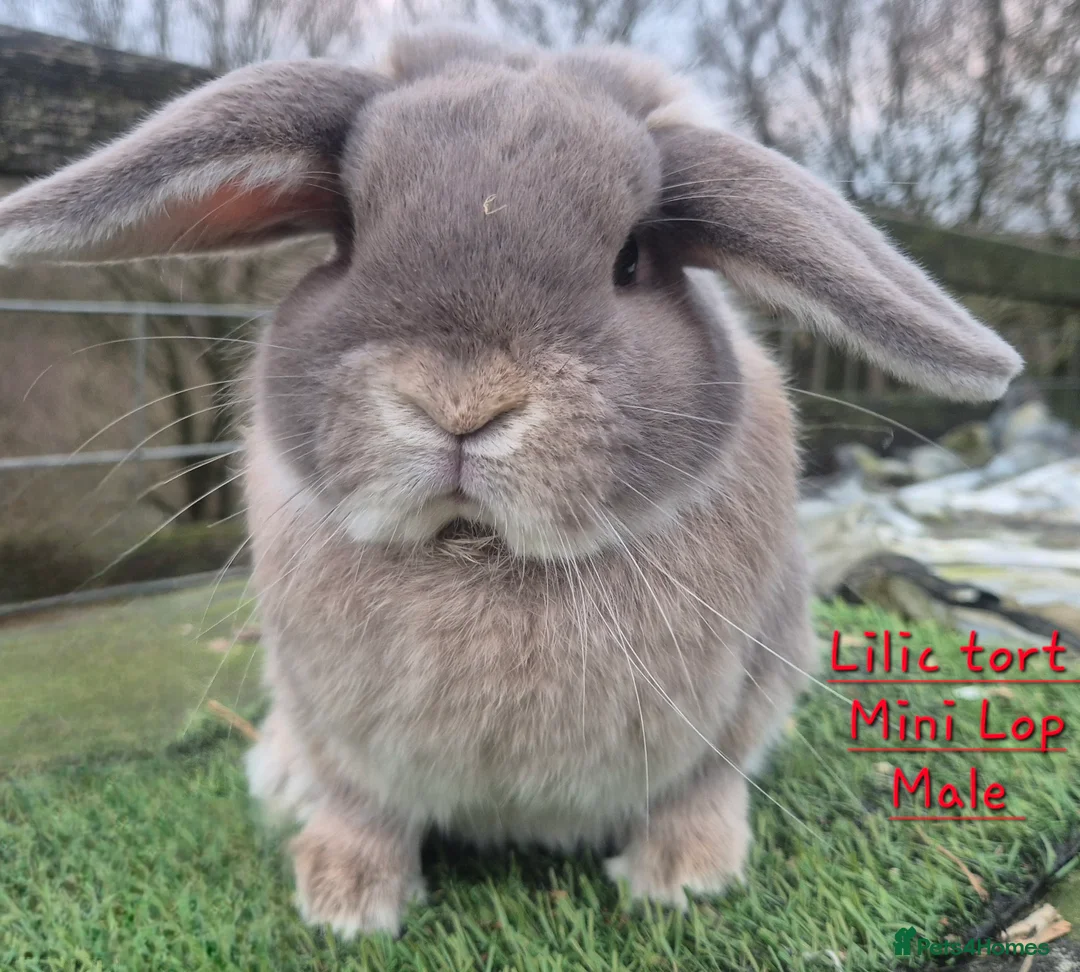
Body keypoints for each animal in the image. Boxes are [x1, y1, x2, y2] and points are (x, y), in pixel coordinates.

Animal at [0, 26, 1022, 938]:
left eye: (629, 260)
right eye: (349, 238)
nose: (462, 406)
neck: (475, 553)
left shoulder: (750, 684)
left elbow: (702, 785)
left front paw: (683, 878)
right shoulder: (335, 721)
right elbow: (361, 803)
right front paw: (344, 901)